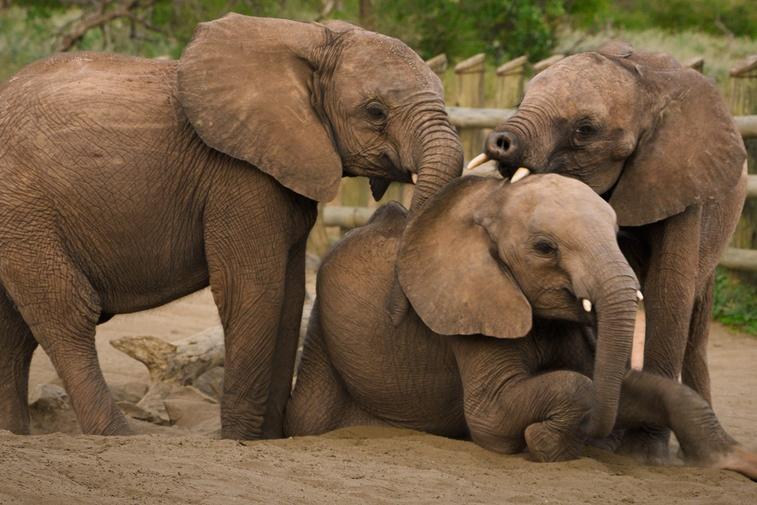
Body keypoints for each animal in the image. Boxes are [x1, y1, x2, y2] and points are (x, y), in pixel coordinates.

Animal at [0, 14, 462, 438]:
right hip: (23, 210)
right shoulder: (238, 175)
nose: (397, 310)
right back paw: (119, 435)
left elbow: (290, 296)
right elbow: (253, 288)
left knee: (13, 330)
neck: (308, 37)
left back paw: (15, 433)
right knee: (65, 312)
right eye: (375, 112)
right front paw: (238, 438)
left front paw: (270, 439)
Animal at [284, 174, 757, 480]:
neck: (489, 203)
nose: (596, 431)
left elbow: (636, 387)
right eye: (545, 248)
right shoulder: (469, 306)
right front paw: (545, 441)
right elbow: (494, 416)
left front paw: (737, 462)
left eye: (618, 232)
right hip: (324, 339)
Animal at [470, 42, 747, 458]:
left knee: (696, 326)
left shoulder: (683, 180)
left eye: (585, 129)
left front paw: (642, 454)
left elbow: (669, 291)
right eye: (521, 99)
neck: (644, 83)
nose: (499, 142)